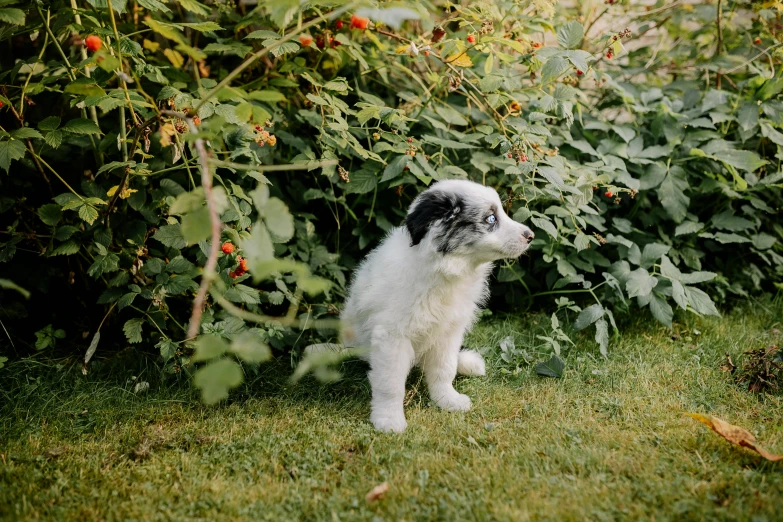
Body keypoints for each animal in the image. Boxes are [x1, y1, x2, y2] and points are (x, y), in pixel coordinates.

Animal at [344, 179, 532, 430]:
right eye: (491, 218)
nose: (530, 235)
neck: (446, 270)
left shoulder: (449, 332)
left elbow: (444, 368)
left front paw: (447, 400)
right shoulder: (391, 337)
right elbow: (390, 383)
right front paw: (389, 419)